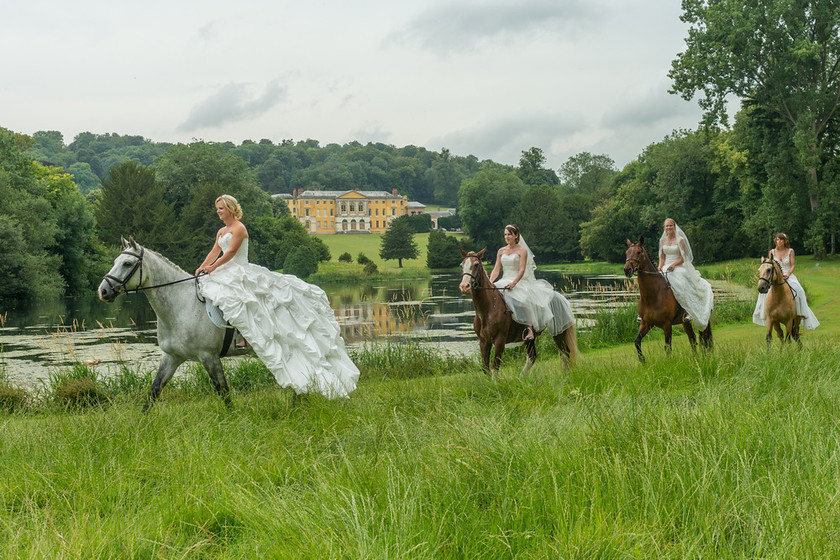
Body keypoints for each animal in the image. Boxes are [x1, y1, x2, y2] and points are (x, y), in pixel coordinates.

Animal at [98, 237, 248, 412]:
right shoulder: (171, 357)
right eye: (115, 261)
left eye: (127, 263)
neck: (182, 306)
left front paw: (233, 414)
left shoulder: (209, 356)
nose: (103, 291)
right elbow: (154, 391)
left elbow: (223, 390)